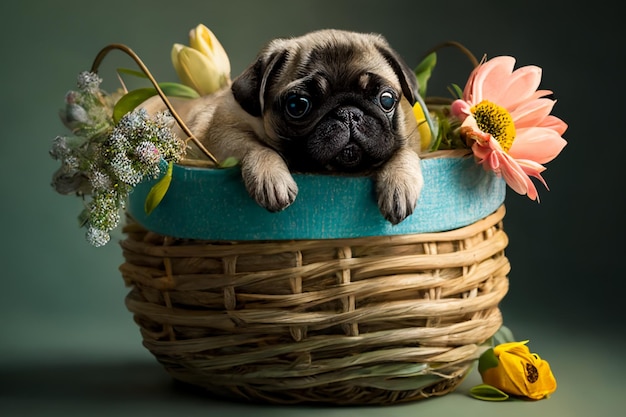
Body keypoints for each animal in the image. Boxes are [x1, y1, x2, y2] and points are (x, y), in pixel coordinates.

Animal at [144, 28, 422, 224]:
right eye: (297, 105)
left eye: (386, 99)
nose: (348, 113)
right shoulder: (221, 129)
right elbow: (257, 147)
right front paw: (271, 177)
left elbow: (405, 151)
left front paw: (399, 184)